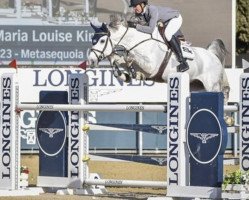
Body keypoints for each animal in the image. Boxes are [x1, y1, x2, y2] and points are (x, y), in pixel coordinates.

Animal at [87, 16, 230, 101]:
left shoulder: (151, 66)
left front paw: (129, 66)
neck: (137, 41)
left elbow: (130, 58)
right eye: (93, 40)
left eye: (102, 41)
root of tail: (212, 55)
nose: (91, 61)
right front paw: (126, 75)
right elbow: (119, 63)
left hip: (212, 86)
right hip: (195, 85)